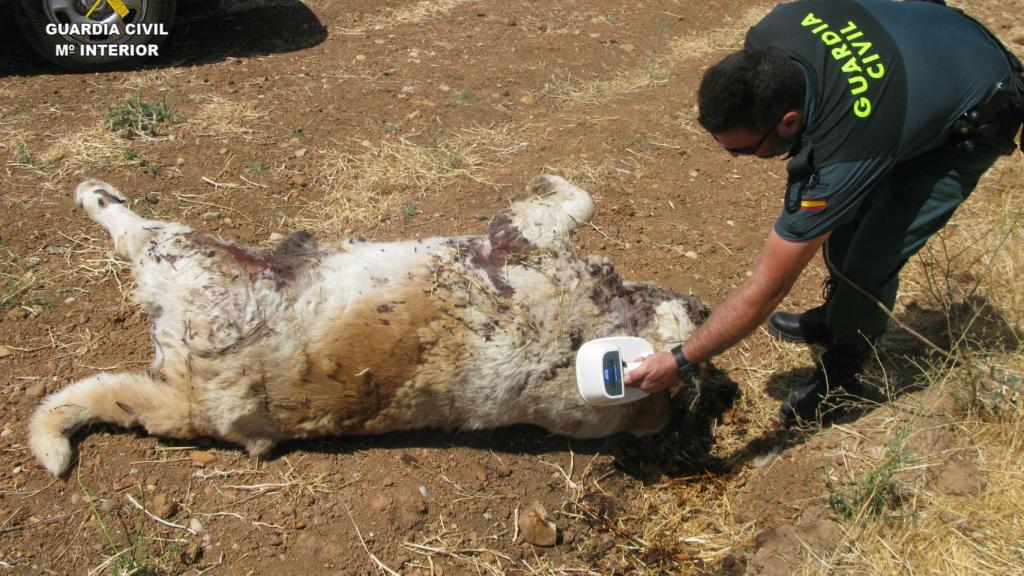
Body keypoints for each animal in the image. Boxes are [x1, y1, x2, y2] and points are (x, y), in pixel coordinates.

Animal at [28, 176, 708, 475]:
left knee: (127, 228)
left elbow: (567, 203)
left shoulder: (528, 244)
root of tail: (194, 403)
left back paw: (93, 191)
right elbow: (576, 201)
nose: (705, 311)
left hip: (186, 255)